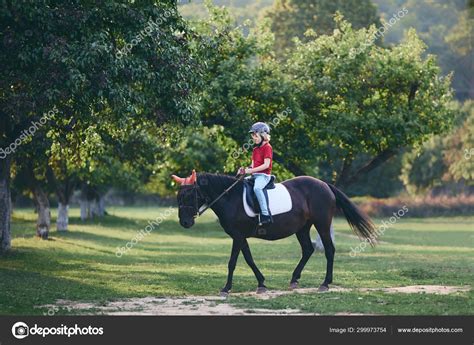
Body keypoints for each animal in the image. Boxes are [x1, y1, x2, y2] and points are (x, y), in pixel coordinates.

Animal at [172, 169, 376, 292]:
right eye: (178, 196)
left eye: (189, 195)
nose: (185, 222)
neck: (230, 197)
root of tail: (324, 185)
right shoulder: (241, 237)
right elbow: (249, 259)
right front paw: (261, 283)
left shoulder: (237, 236)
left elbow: (232, 262)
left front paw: (226, 288)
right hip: (303, 228)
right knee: (307, 249)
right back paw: (294, 279)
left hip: (322, 224)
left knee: (329, 250)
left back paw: (325, 283)